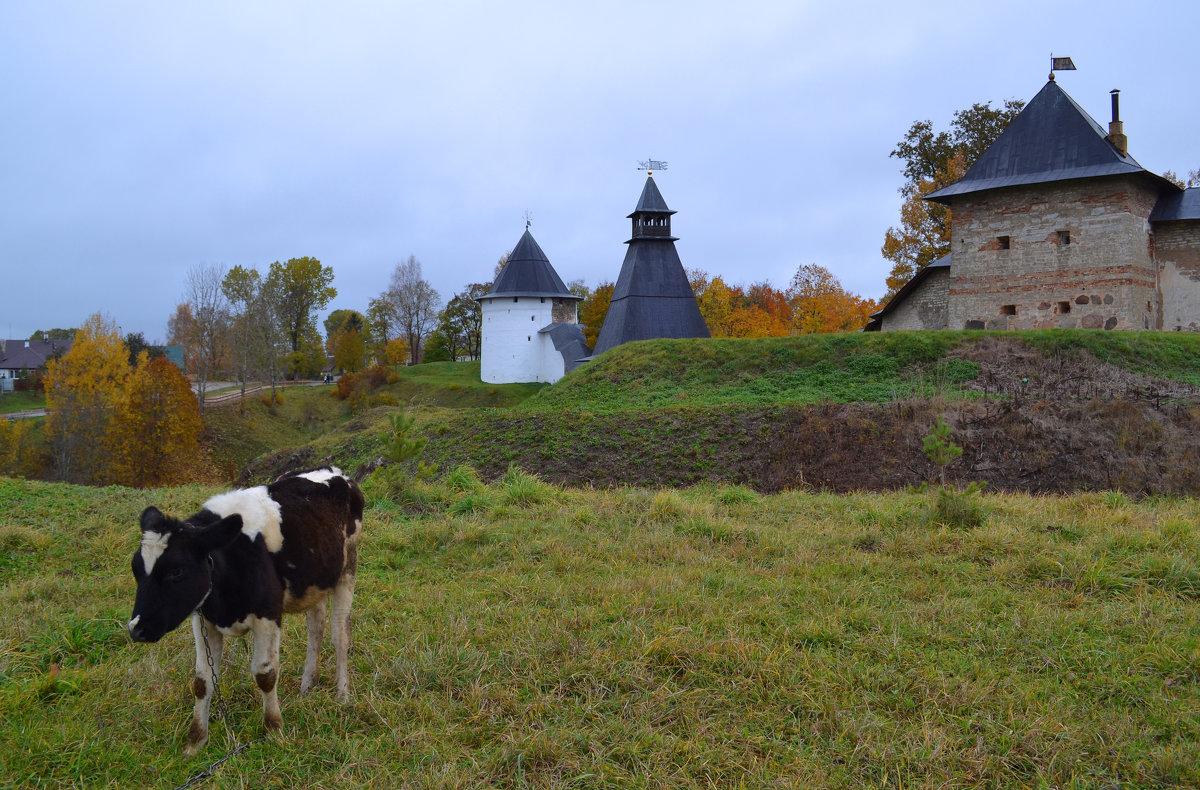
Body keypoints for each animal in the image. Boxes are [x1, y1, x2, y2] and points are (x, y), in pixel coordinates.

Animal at [126, 463, 362, 753]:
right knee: (315, 629)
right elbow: (202, 680)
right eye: (135, 568)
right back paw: (308, 685)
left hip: (347, 568)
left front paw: (274, 730)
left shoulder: (267, 615)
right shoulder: (203, 619)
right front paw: (196, 741)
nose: (136, 629)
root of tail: (336, 471)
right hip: (314, 581)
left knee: (340, 634)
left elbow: (265, 674)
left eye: (176, 571)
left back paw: (342, 694)